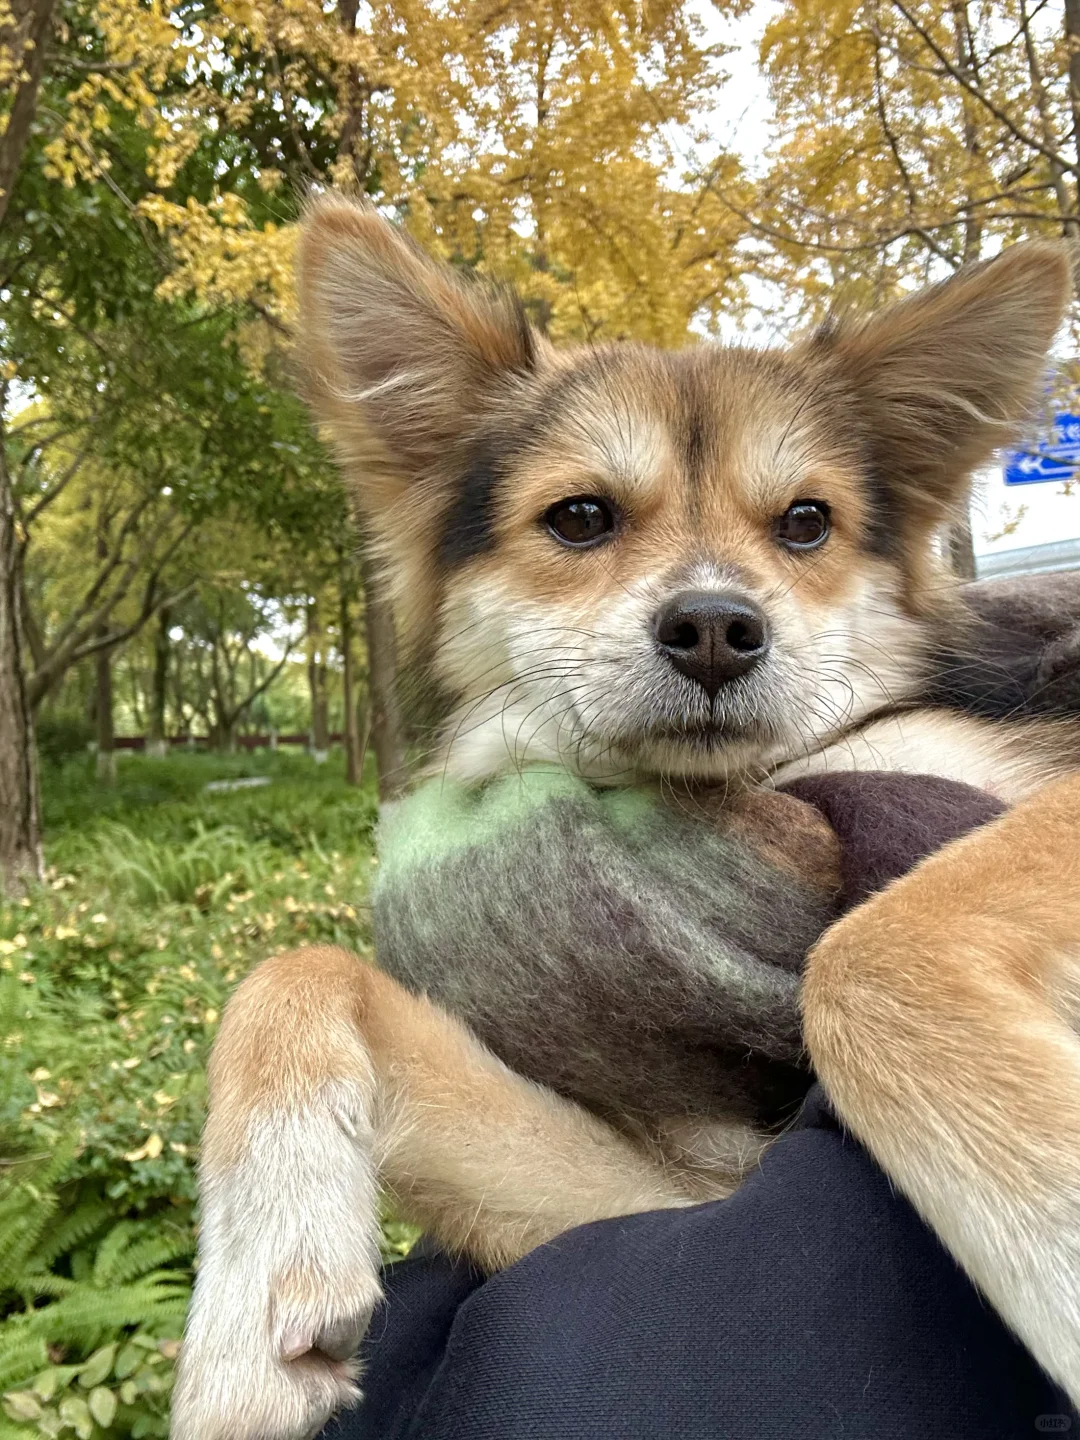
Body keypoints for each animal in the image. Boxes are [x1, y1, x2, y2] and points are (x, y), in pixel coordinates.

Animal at [170, 200, 1080, 1440]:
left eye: (807, 523)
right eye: (581, 517)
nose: (716, 628)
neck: (736, 803)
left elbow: (867, 954)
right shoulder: (678, 1199)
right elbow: (294, 969)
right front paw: (247, 1309)